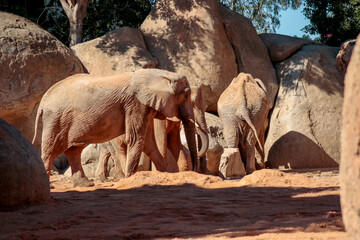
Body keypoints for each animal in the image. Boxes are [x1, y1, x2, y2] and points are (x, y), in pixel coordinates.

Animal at [32, 68, 198, 187]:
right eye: (186, 95)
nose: (196, 169)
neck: (157, 74)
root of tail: (43, 101)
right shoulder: (135, 104)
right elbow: (136, 138)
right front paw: (131, 179)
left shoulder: (145, 106)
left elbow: (148, 142)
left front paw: (164, 175)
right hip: (56, 120)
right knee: (51, 150)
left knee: (73, 150)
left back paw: (85, 185)